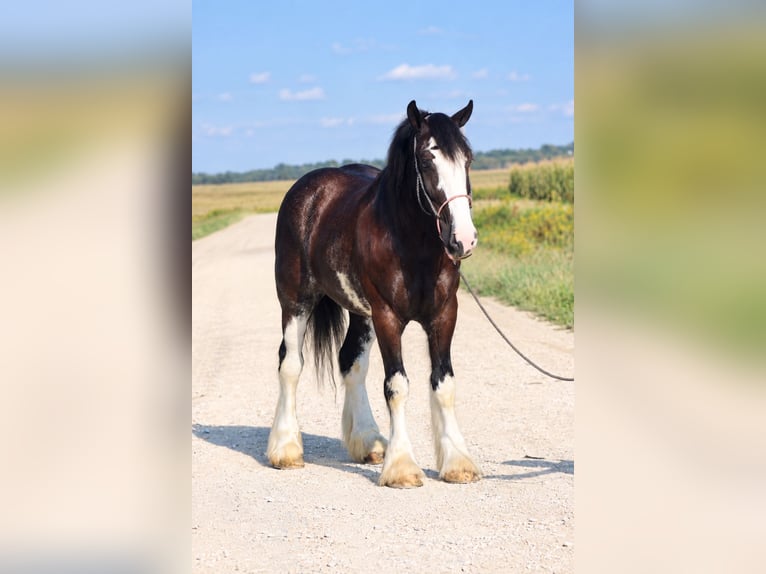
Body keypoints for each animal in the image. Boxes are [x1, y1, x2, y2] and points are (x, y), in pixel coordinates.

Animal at [267, 100, 481, 488]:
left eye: (467, 158)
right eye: (427, 159)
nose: (463, 239)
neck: (412, 245)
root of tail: (308, 190)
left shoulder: (444, 314)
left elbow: (444, 385)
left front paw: (457, 462)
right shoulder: (387, 317)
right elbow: (397, 386)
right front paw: (402, 467)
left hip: (360, 313)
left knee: (351, 362)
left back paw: (368, 441)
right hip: (295, 301)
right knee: (290, 364)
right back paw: (286, 449)